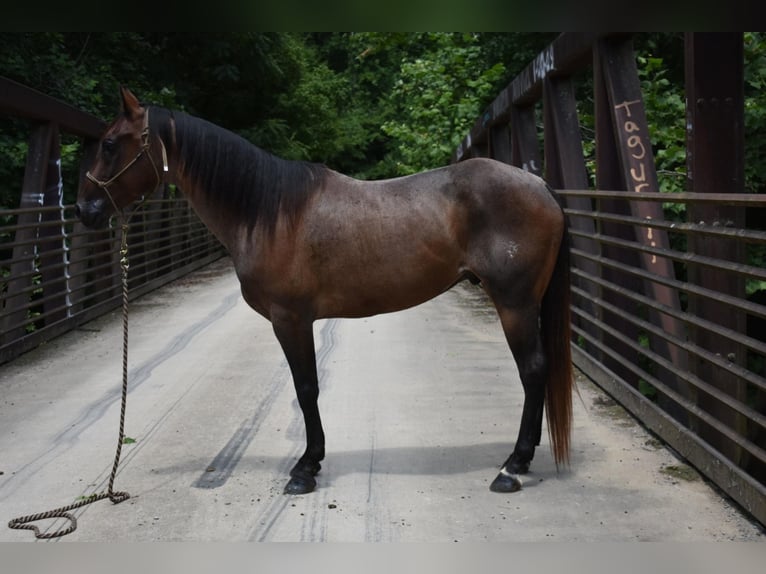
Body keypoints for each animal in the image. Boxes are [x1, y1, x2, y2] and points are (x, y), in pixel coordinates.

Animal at [75, 88, 572, 498]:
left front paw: (305, 469)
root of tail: (538, 184)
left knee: (532, 371)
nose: (84, 209)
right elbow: (307, 388)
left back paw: (512, 468)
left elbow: (306, 388)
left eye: (110, 144)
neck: (268, 211)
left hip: (515, 304)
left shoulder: (290, 319)